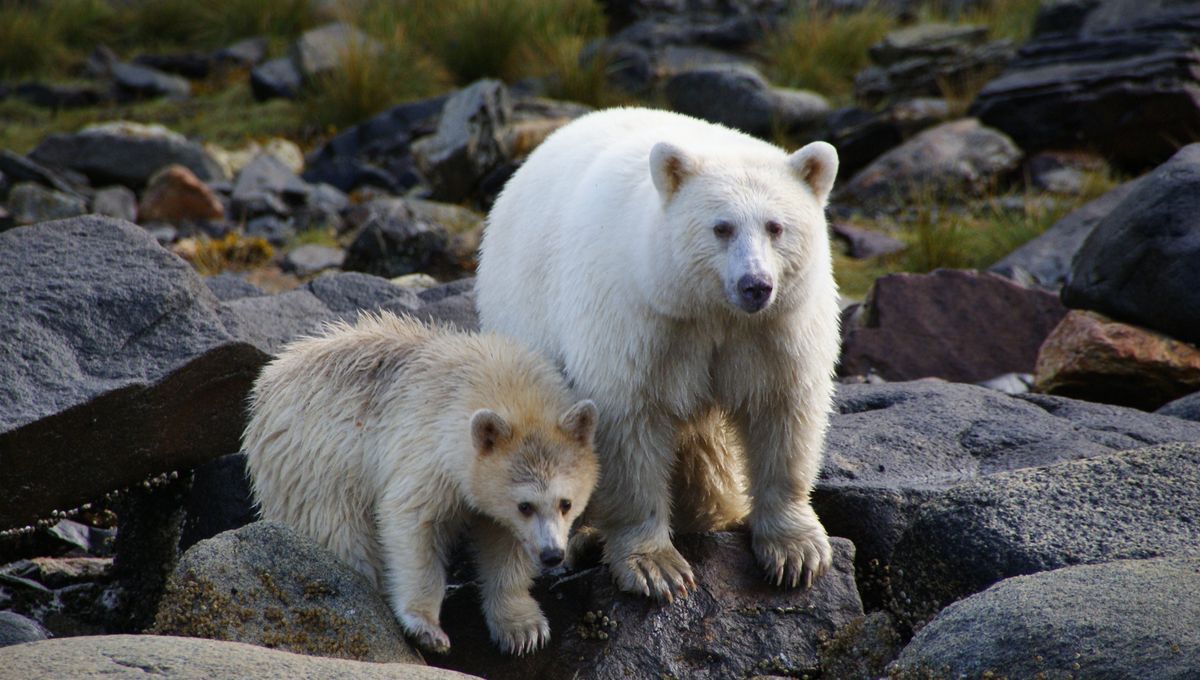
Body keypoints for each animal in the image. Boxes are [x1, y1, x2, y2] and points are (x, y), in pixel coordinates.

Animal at [242, 311, 599, 655]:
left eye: (566, 503)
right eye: (525, 505)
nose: (552, 555)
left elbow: (506, 543)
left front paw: (523, 629)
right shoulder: (428, 450)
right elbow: (413, 523)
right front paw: (426, 627)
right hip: (316, 465)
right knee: (340, 532)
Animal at [475, 107, 841, 601]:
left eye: (776, 226)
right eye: (721, 227)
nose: (755, 285)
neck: (709, 310)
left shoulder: (774, 330)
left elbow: (783, 411)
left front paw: (796, 552)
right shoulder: (641, 320)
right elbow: (628, 422)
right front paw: (655, 566)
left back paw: (714, 508)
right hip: (524, 315)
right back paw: (583, 536)